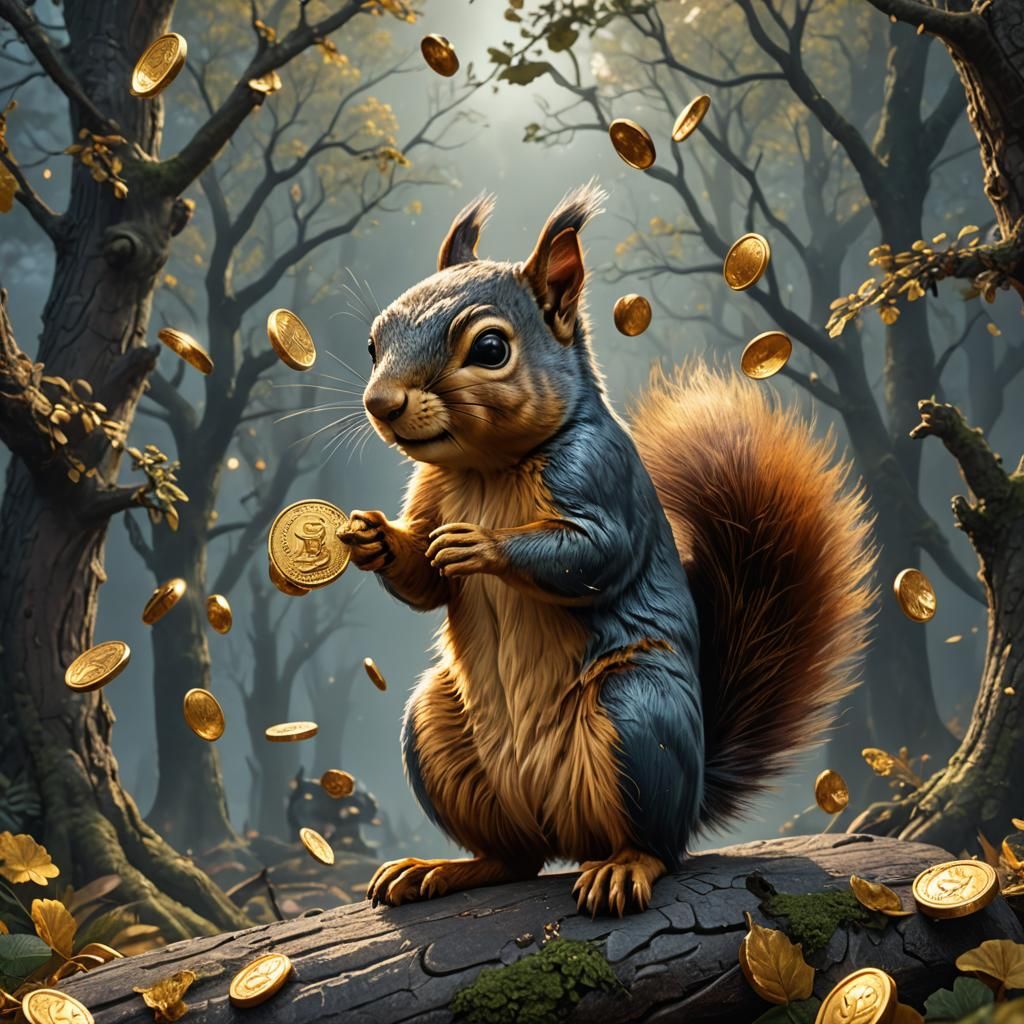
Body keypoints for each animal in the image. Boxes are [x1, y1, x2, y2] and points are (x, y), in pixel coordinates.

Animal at [339, 184, 875, 917]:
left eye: (489, 348)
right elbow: (424, 577)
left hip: (636, 716)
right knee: (513, 858)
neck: (487, 471)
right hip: (438, 731)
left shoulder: (602, 478)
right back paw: (442, 869)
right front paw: (373, 538)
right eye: (373, 342)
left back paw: (623, 867)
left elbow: (595, 557)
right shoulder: (428, 491)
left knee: (655, 845)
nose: (381, 403)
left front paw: (481, 546)